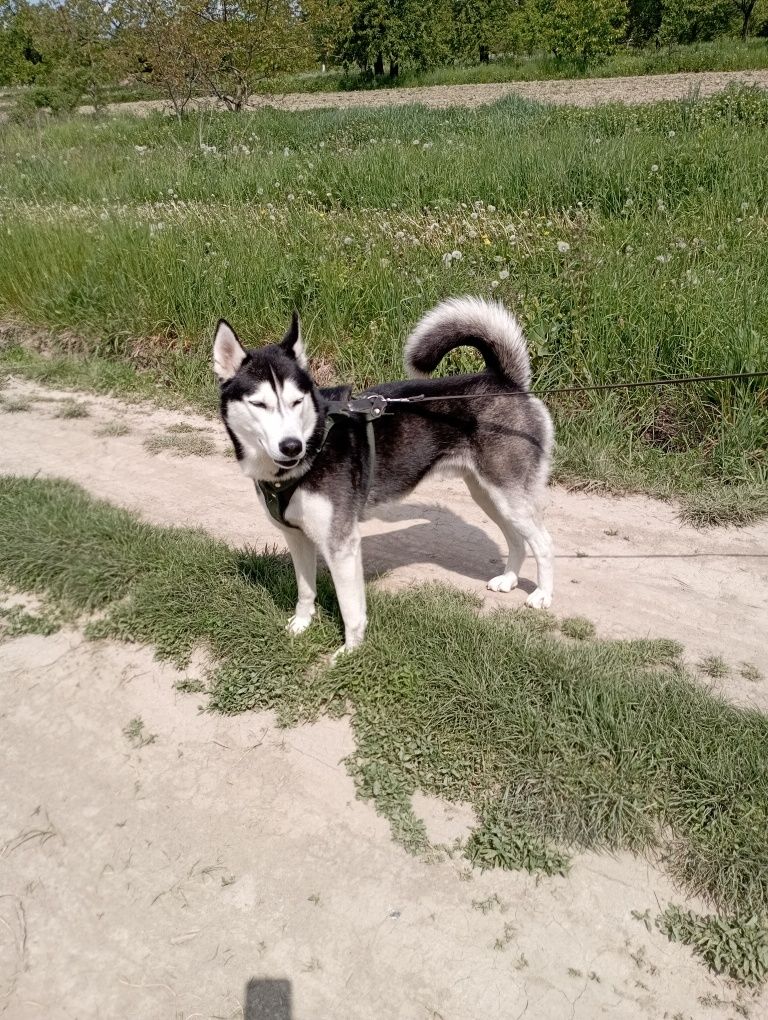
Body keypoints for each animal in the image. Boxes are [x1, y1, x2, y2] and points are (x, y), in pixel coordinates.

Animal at [213, 297, 554, 656]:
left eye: (296, 401)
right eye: (259, 404)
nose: (292, 445)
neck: (315, 443)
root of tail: (505, 381)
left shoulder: (341, 545)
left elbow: (351, 609)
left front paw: (350, 653)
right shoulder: (297, 536)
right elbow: (305, 590)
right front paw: (300, 626)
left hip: (509, 495)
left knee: (543, 542)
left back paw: (542, 594)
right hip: (488, 495)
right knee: (517, 538)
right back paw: (509, 579)